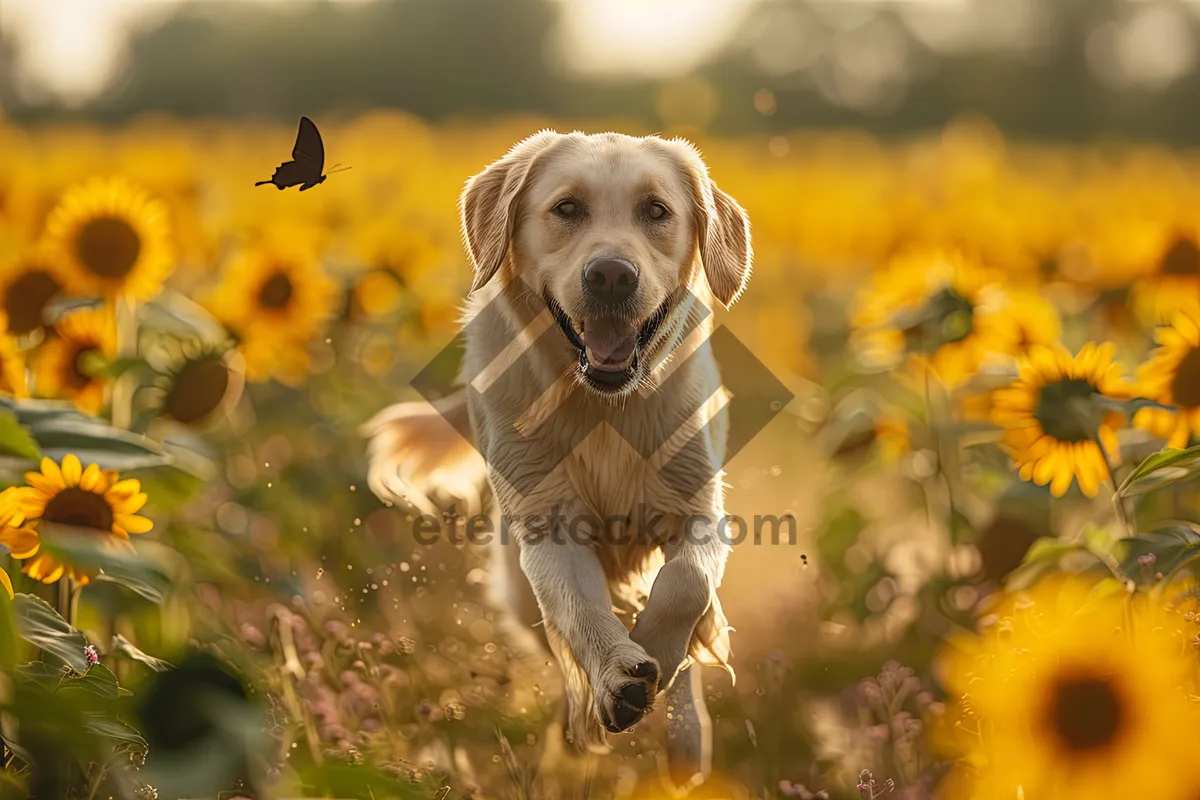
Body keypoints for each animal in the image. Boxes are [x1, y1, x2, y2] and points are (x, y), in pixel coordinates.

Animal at [360, 131, 748, 786]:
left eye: (657, 211)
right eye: (567, 208)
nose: (612, 275)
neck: (601, 404)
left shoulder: (698, 507)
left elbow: (684, 587)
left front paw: (658, 662)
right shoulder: (550, 527)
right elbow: (580, 611)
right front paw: (617, 677)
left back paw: (683, 738)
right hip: (517, 586)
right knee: (556, 639)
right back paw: (580, 728)